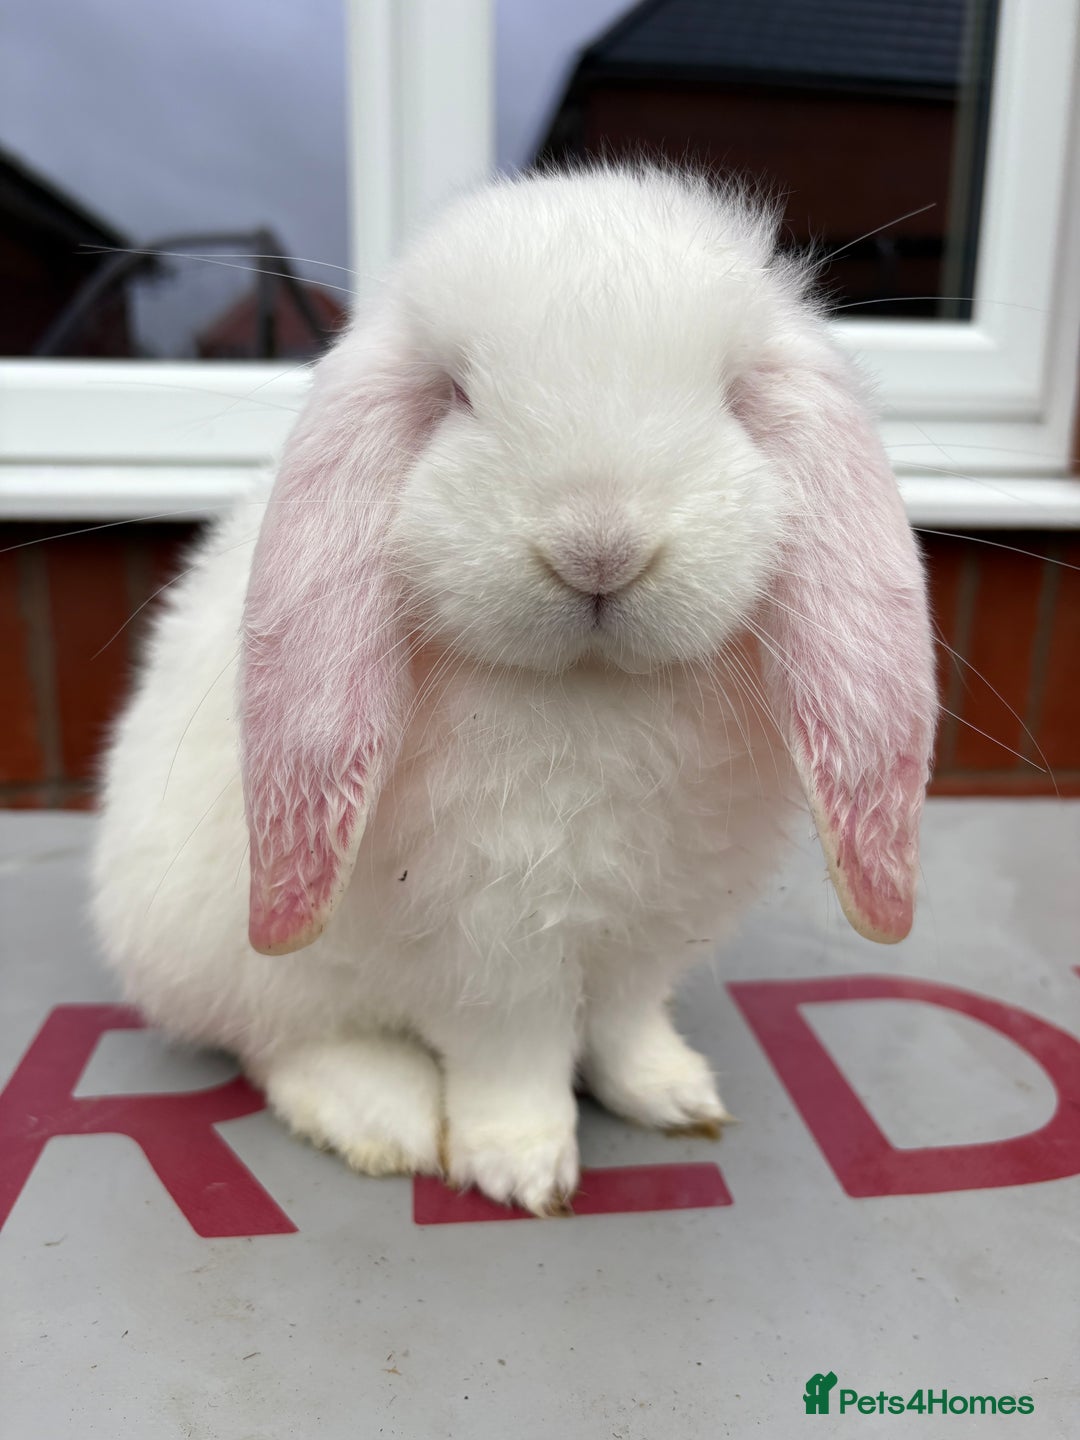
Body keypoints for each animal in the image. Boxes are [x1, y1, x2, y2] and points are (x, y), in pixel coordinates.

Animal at [91, 166, 937, 1216]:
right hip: (238, 958)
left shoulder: (646, 934)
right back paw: (387, 1116)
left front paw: (673, 1097)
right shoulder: (490, 952)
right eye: (454, 395)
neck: (590, 693)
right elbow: (515, 1058)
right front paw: (522, 1170)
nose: (598, 546)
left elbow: (622, 1024)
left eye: (734, 400)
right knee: (277, 1043)